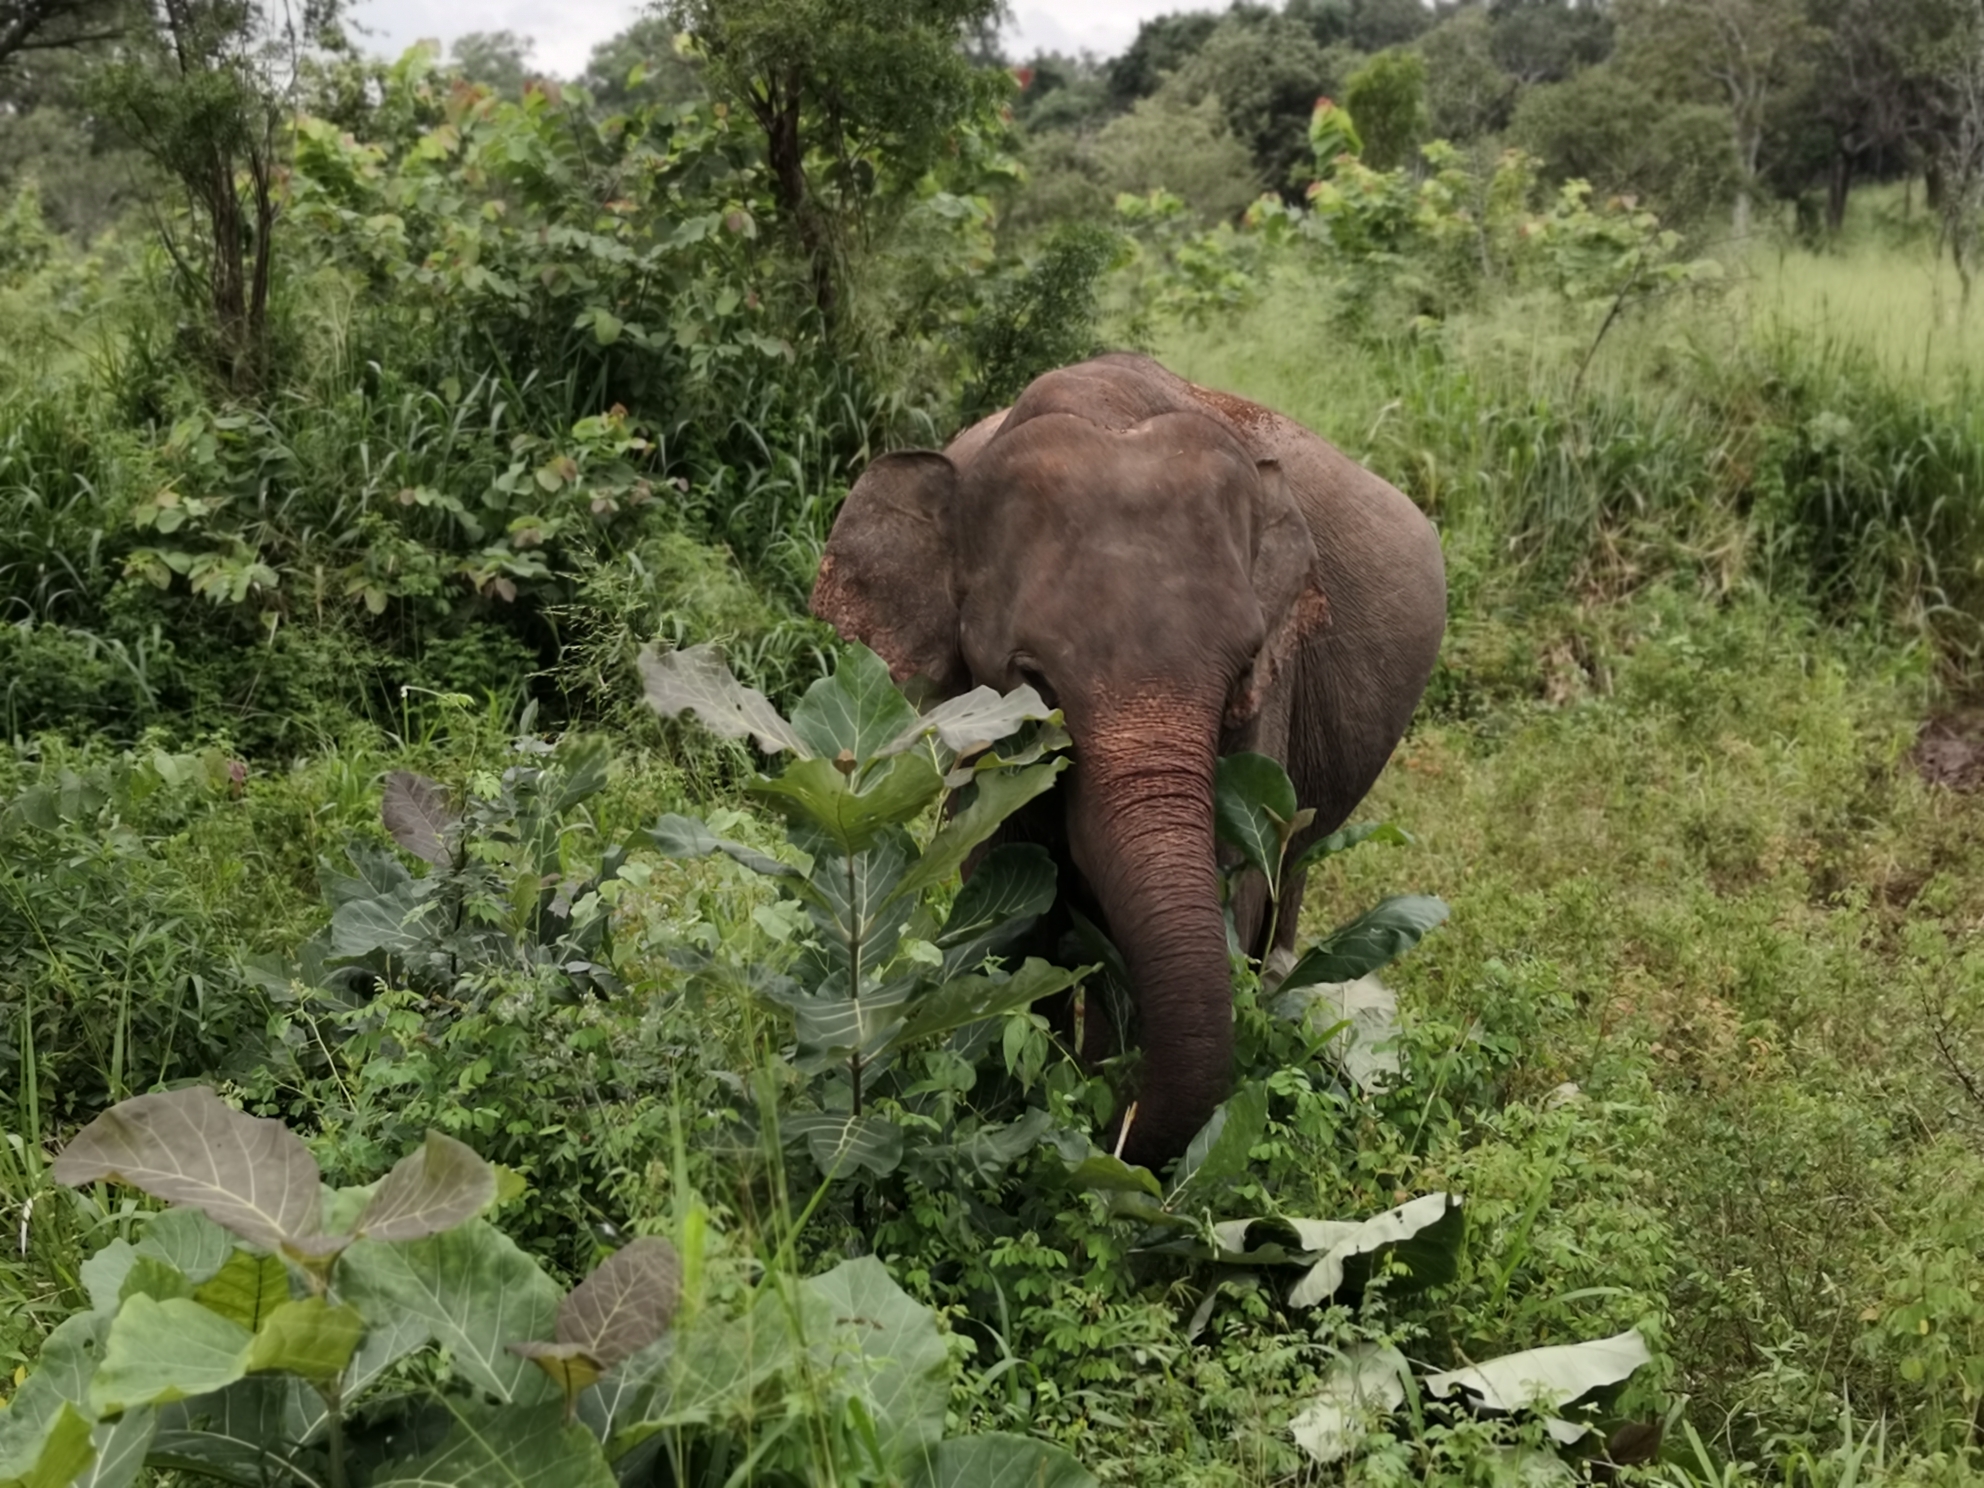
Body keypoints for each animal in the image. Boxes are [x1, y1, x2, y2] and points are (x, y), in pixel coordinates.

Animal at [805, 355, 1444, 1174]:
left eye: (1241, 672)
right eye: (1033, 681)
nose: (1110, 1122)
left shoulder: (1273, 695)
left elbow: (1228, 880)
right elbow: (1010, 887)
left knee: (1291, 866)